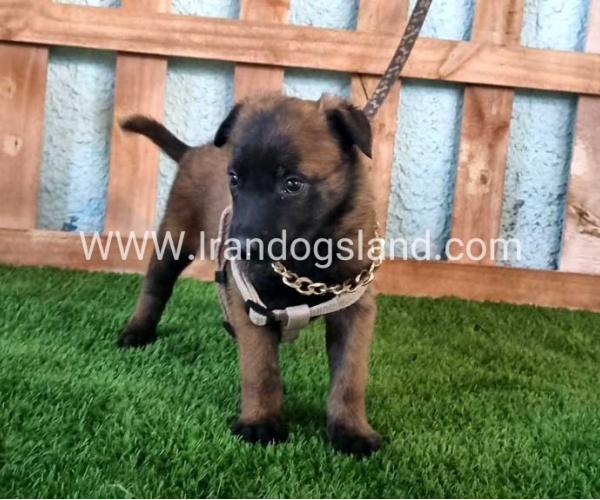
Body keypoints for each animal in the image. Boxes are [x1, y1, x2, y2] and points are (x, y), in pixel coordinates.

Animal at [118, 93, 382, 457]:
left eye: (292, 184)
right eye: (234, 179)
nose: (238, 247)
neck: (306, 258)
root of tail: (193, 151)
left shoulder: (354, 309)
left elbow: (350, 377)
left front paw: (351, 429)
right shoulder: (252, 306)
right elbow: (261, 370)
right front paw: (260, 421)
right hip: (174, 240)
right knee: (155, 287)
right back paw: (137, 331)